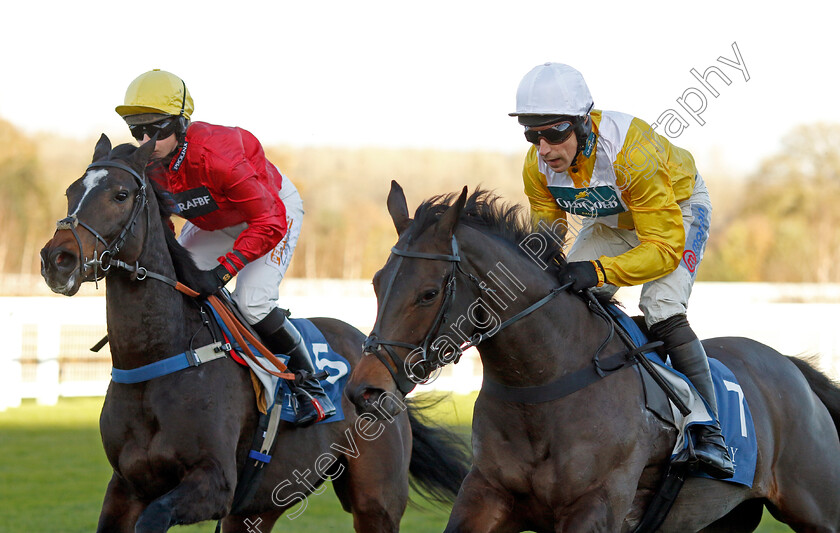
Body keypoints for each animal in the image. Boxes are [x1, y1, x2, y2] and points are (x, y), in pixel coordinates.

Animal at [39, 138, 470, 532]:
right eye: (71, 192)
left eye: (121, 194)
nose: (57, 259)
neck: (158, 356)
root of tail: (380, 365)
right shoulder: (126, 487)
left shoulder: (214, 483)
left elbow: (155, 518)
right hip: (263, 502)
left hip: (375, 500)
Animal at [344, 181, 840, 528]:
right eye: (376, 282)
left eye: (428, 293)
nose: (364, 390)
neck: (541, 386)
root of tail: (791, 367)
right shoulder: (486, 494)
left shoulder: (595, 506)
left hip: (817, 507)